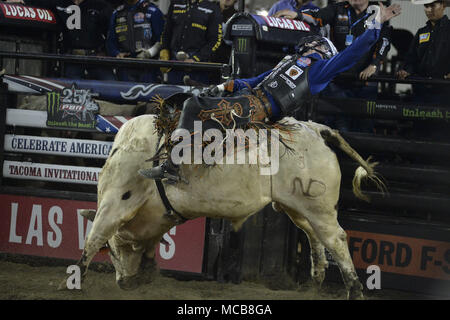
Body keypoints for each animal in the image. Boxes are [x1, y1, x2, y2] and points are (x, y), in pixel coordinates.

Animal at [63, 114, 384, 300]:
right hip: (295, 204)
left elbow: (95, 236)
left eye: (114, 251)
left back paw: (354, 289)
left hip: (316, 205)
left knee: (335, 238)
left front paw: (74, 280)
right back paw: (316, 277)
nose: (122, 283)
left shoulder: (115, 200)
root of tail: (317, 130)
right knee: (313, 234)